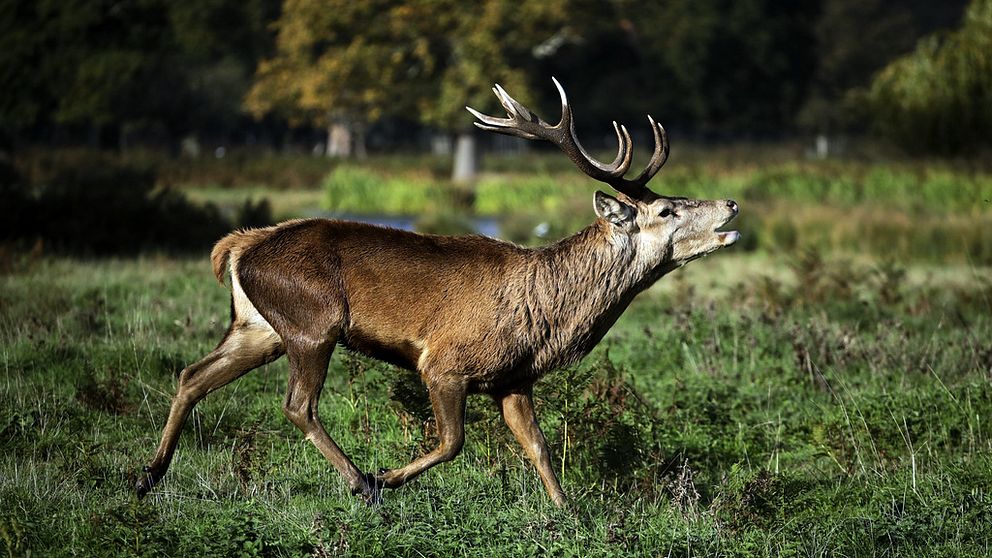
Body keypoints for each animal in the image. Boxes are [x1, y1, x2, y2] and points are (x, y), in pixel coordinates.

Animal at [134, 79, 736, 508]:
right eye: (667, 210)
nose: (730, 204)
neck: (550, 317)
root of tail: (239, 245)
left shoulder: (513, 378)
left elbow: (539, 447)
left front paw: (570, 515)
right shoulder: (444, 362)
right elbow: (453, 442)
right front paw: (385, 476)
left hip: (259, 327)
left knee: (192, 375)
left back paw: (148, 476)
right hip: (312, 322)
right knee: (297, 405)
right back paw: (360, 482)